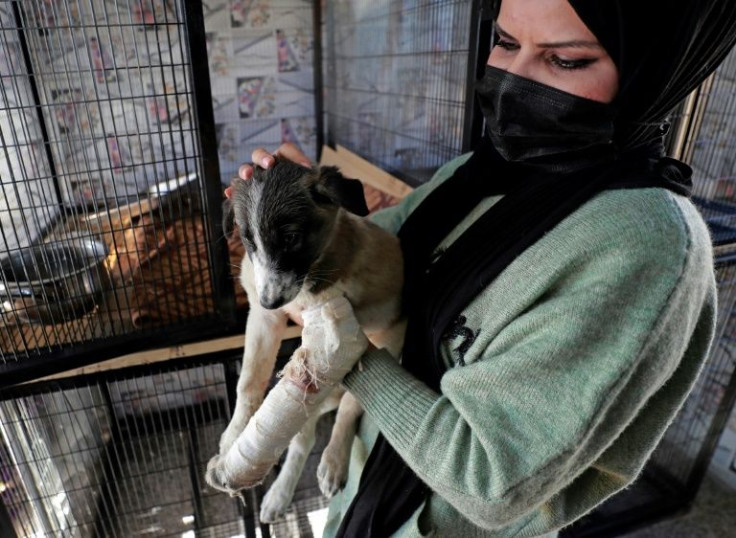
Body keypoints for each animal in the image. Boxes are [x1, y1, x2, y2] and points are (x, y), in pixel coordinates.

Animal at [213, 158, 406, 520]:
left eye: (290, 238)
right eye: (248, 241)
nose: (271, 300)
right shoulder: (263, 319)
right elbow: (248, 381)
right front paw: (234, 435)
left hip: (374, 352)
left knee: (347, 407)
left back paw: (333, 460)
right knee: (303, 437)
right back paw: (279, 494)